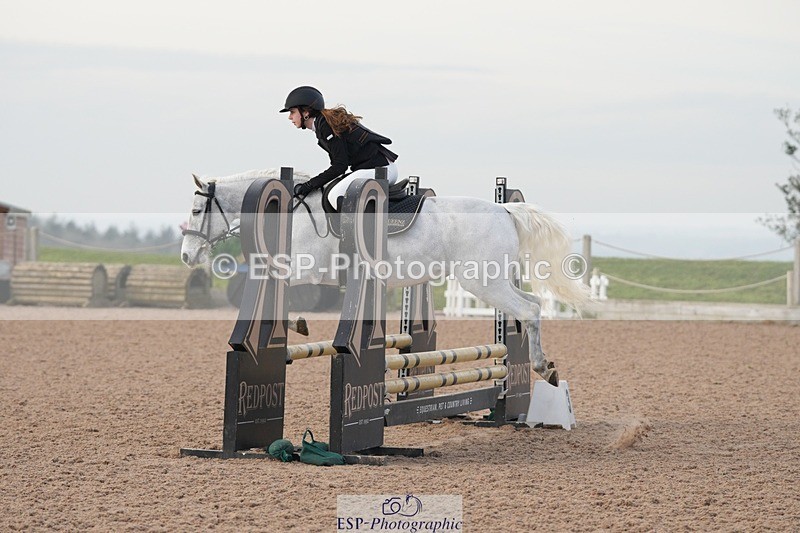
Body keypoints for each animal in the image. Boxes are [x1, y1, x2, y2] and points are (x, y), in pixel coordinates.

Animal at [180, 168, 587, 383]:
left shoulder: (305, 267)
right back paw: (545, 366)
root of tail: (506, 209)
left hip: (483, 281)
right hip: (495, 279)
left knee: (529, 310)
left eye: (198, 209)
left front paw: (297, 324)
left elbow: (287, 293)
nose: (186, 255)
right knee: (533, 305)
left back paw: (541, 366)